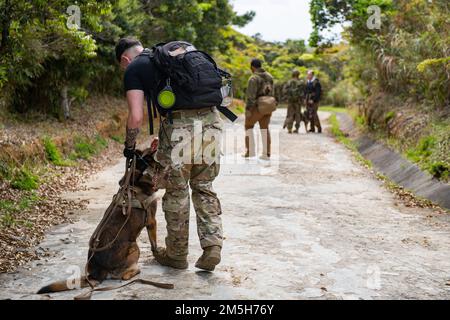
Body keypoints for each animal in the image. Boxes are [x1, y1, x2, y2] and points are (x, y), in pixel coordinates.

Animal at [36, 141, 171, 296]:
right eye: (149, 153)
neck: (137, 176)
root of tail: (98, 272)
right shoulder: (151, 220)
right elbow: (153, 241)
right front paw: (157, 251)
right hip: (134, 246)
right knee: (124, 276)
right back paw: (135, 272)